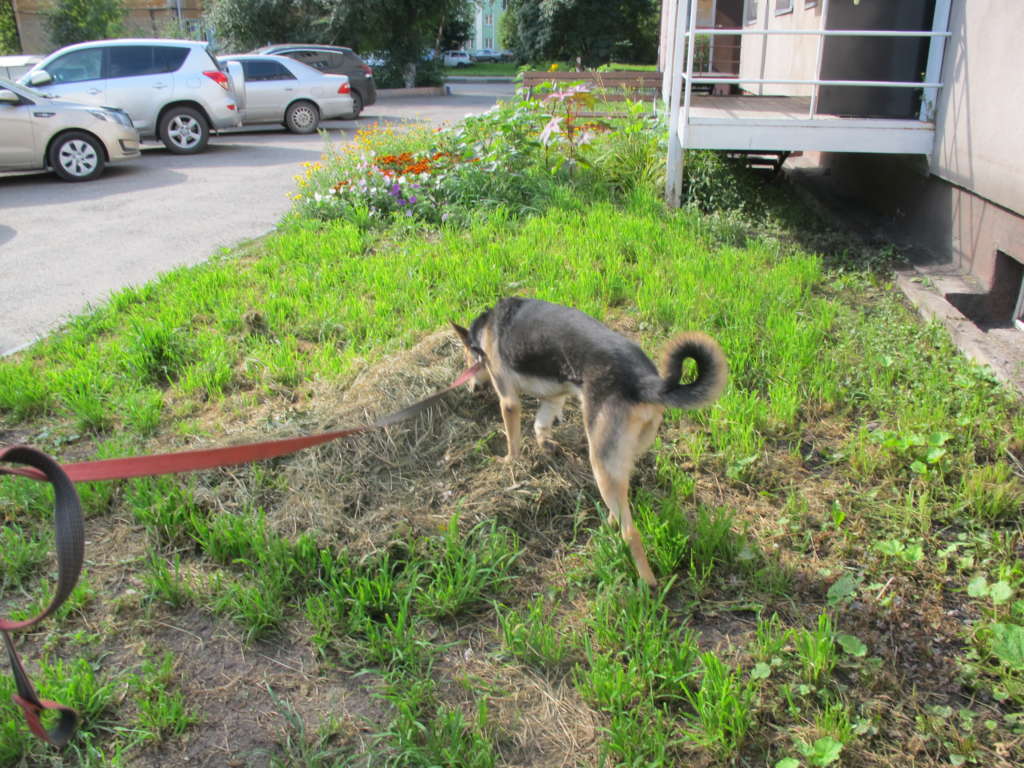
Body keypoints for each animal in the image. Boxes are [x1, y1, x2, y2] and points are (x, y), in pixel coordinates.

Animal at [450, 296, 729, 585]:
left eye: (466, 358)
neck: (485, 328)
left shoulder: (509, 401)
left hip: (600, 460)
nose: (470, 388)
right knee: (620, 502)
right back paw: (607, 526)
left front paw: (510, 462)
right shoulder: (554, 396)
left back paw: (646, 582)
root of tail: (647, 382)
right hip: (619, 458)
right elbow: (540, 424)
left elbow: (513, 439)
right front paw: (546, 446)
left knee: (631, 532)